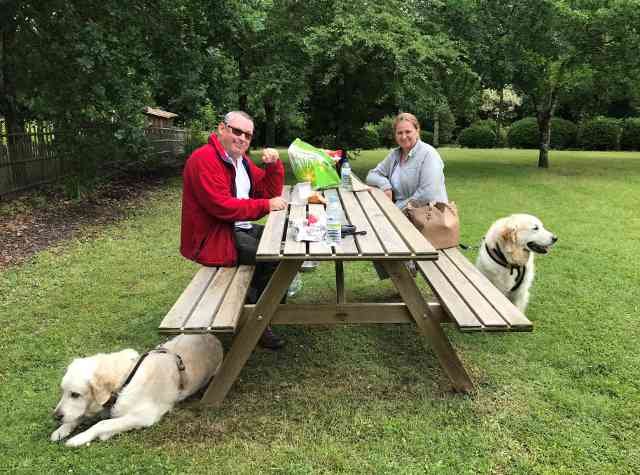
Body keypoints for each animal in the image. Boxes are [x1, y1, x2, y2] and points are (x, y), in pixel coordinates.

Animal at [49, 332, 222, 448]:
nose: (55, 416)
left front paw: (79, 438)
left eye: (75, 394)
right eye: (63, 391)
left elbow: (102, 424)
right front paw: (61, 430)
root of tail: (215, 339)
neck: (125, 379)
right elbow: (79, 416)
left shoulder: (144, 416)